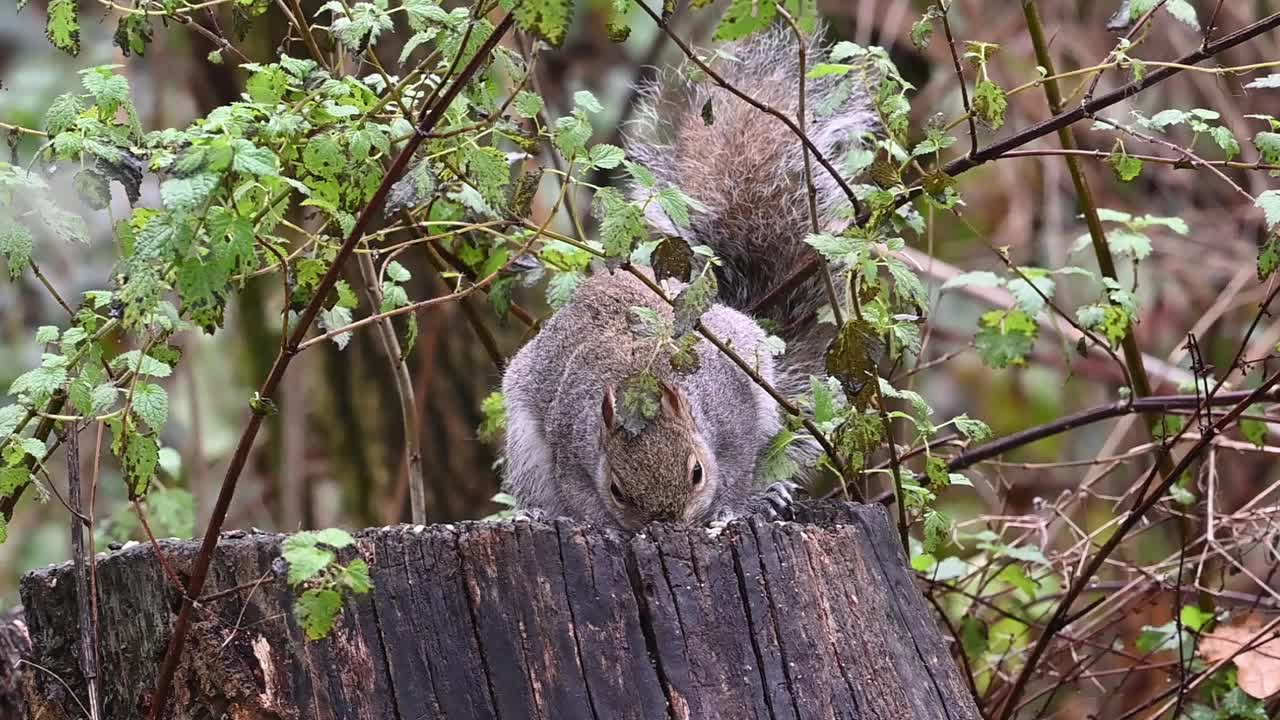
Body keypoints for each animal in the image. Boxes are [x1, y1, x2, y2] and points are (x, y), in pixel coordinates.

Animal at [499, 23, 880, 527]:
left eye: (697, 471)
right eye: (617, 490)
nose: (669, 524)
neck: (638, 380)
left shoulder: (733, 415)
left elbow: (737, 468)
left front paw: (736, 507)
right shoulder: (572, 452)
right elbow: (580, 498)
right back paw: (538, 515)